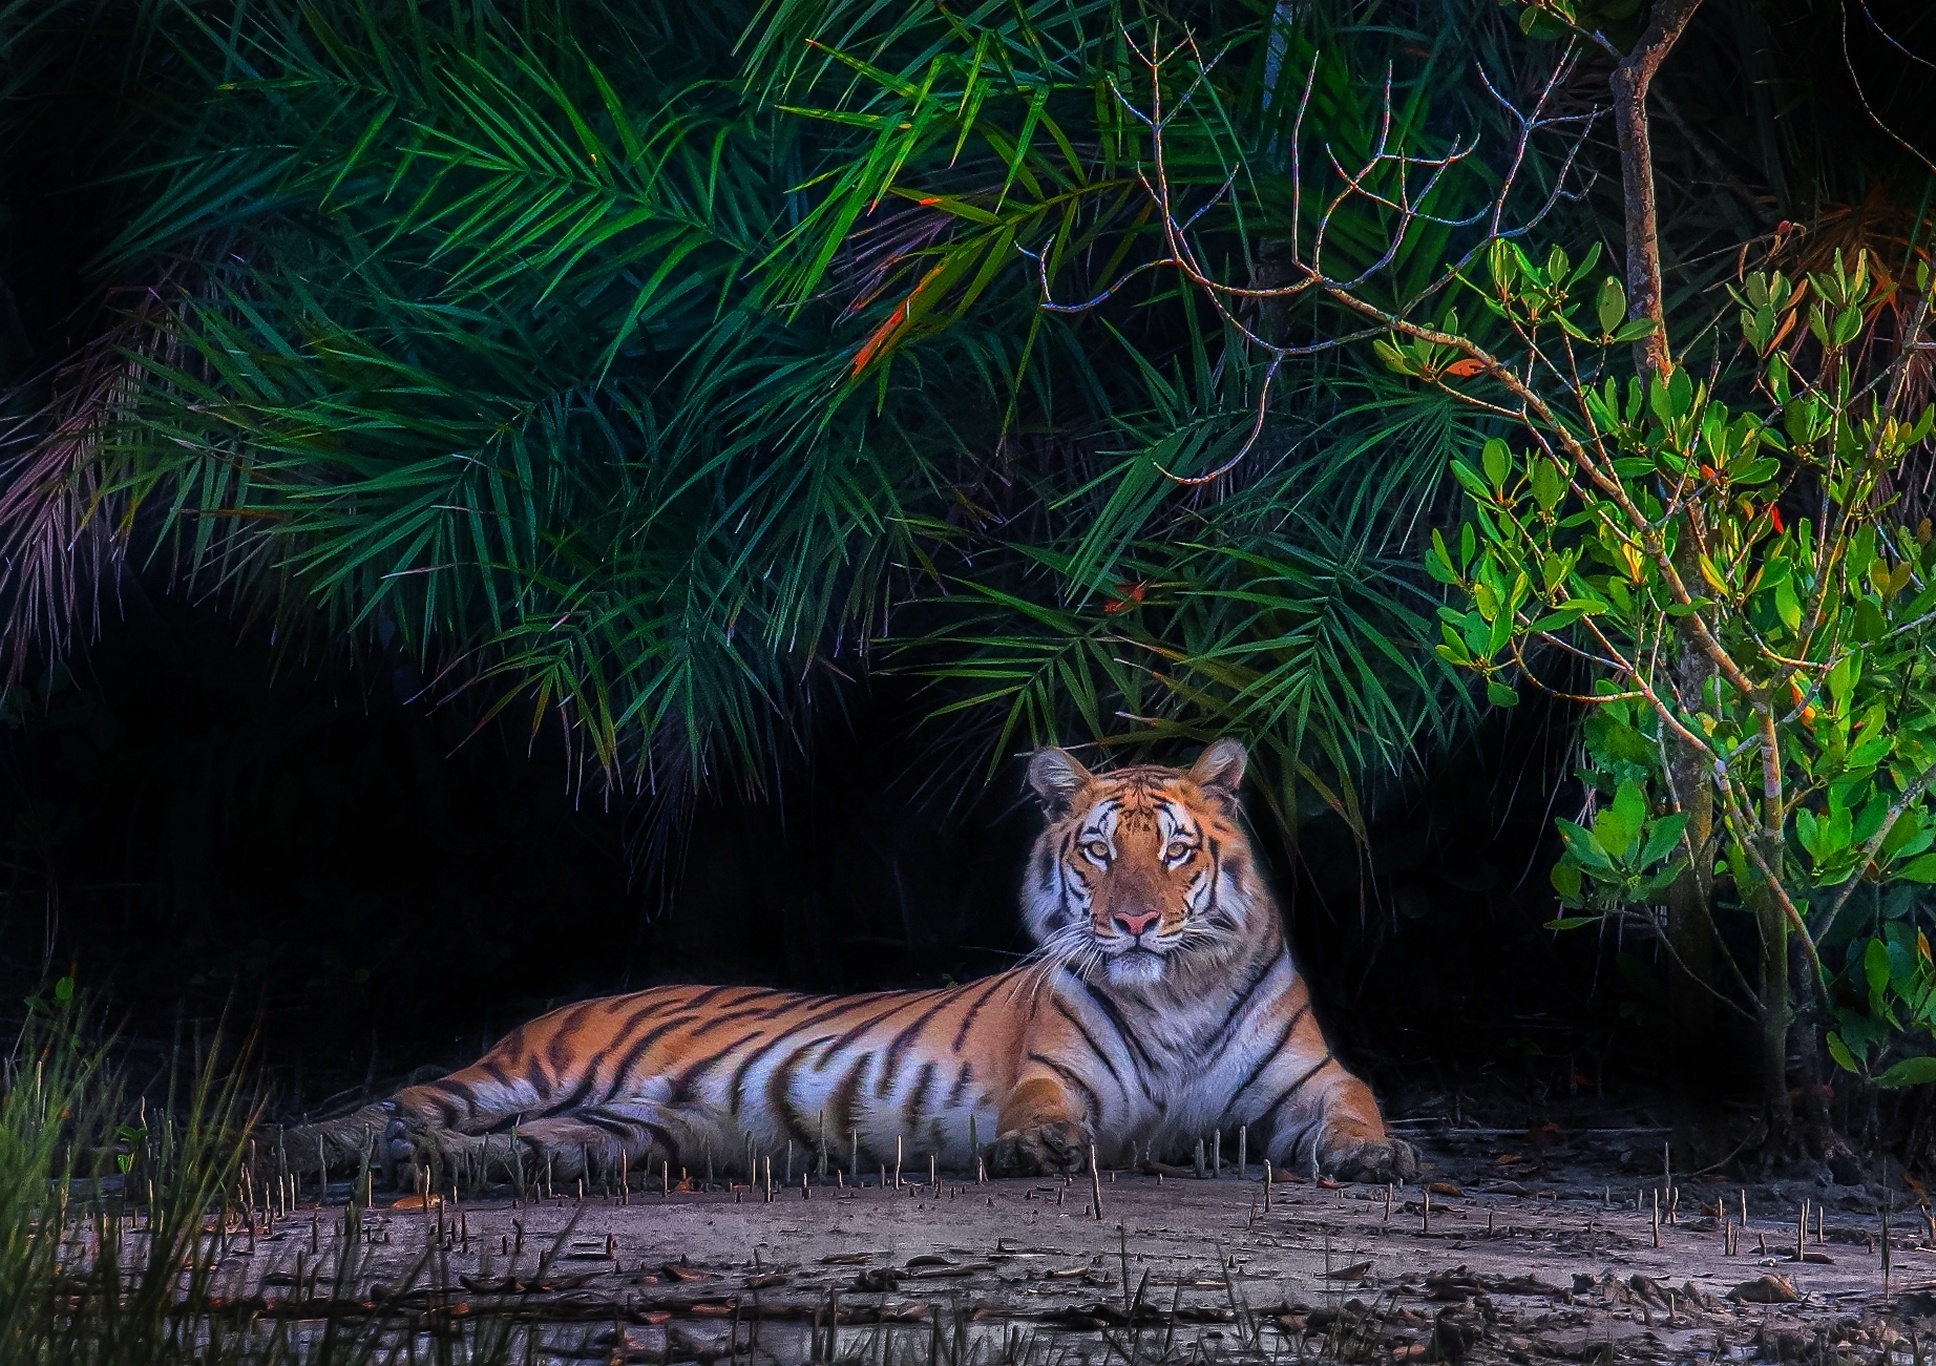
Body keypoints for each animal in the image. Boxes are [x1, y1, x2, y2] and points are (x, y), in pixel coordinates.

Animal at [302, 739, 1416, 1185]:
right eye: (1100, 850)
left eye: (1174, 849)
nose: (1136, 922)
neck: (1176, 991)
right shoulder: (1054, 1073)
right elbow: (1042, 1110)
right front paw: (1035, 1151)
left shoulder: (1316, 1080)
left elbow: (1360, 1111)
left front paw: (1376, 1159)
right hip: (533, 1068)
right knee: (401, 1101)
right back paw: (318, 1152)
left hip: (618, 1130)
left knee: (506, 1146)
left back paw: (436, 1167)